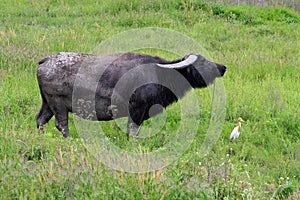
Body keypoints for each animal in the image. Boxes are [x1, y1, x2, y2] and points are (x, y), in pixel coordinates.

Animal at [36, 52, 225, 138]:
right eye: (202, 62)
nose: (223, 67)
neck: (159, 74)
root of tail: (45, 61)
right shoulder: (137, 110)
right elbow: (132, 131)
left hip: (47, 104)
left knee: (40, 119)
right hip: (58, 105)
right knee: (61, 125)